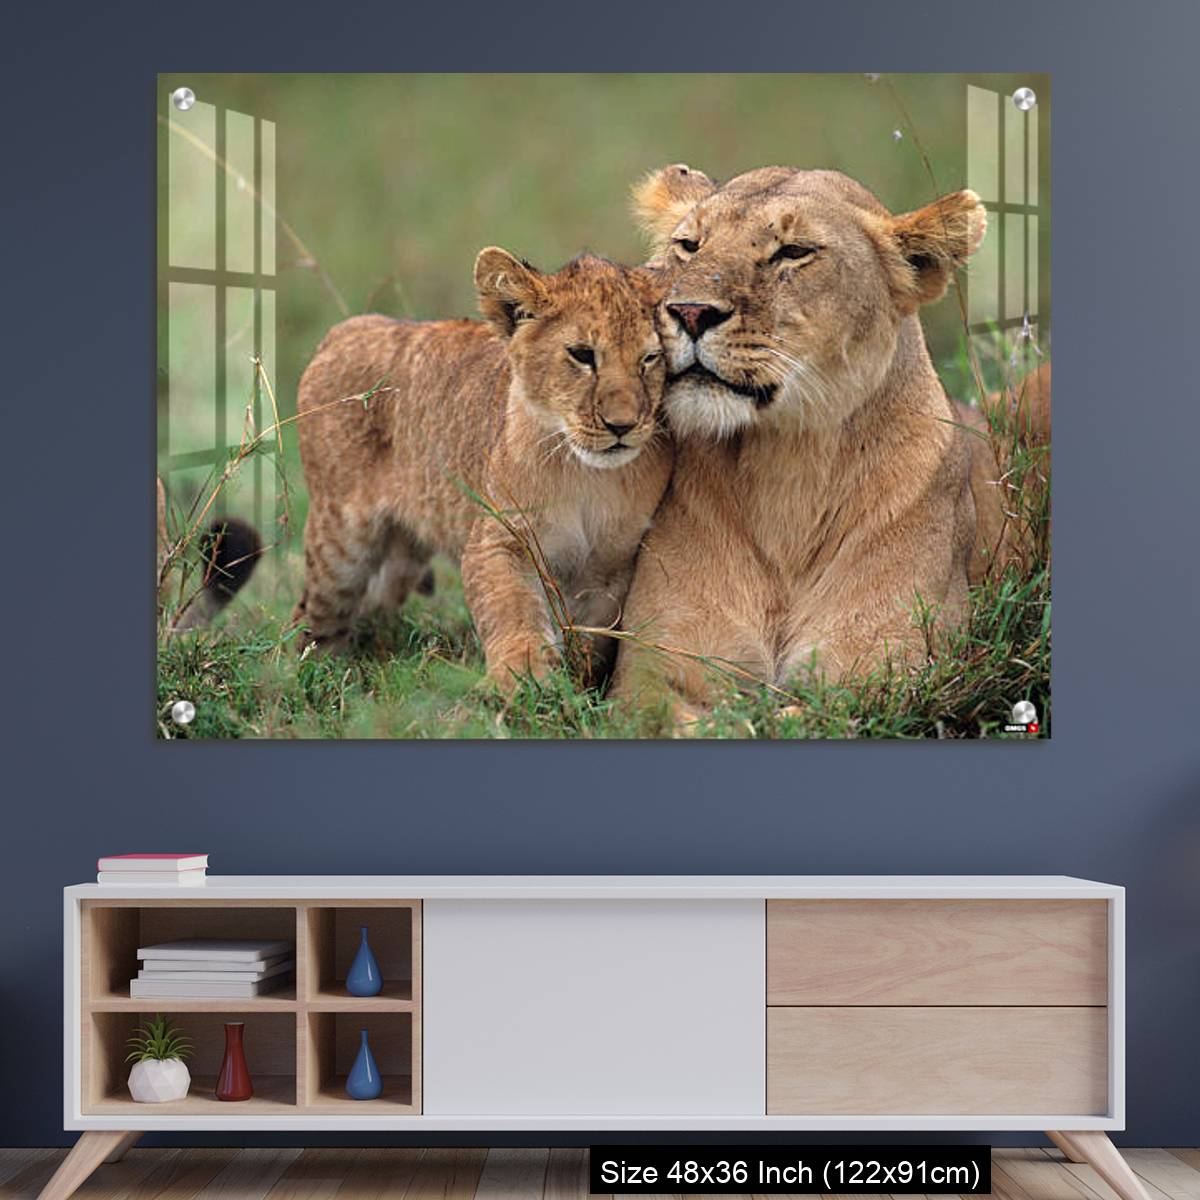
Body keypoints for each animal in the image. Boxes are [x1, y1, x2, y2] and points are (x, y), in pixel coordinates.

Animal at [294, 249, 672, 689]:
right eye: (582, 354)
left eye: (650, 358)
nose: (622, 426)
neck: (587, 475)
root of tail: (345, 329)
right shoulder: (500, 538)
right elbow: (512, 608)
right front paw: (523, 676)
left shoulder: (612, 568)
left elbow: (590, 638)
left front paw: (576, 685)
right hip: (340, 542)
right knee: (312, 614)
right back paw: (304, 672)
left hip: (403, 555)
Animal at [612, 164, 1042, 718]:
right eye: (689, 245)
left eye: (793, 252)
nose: (688, 312)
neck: (786, 468)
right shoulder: (653, 669)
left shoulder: (888, 669)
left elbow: (788, 719)